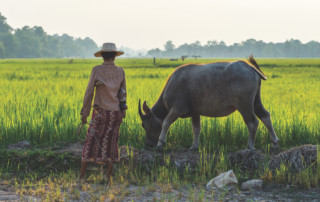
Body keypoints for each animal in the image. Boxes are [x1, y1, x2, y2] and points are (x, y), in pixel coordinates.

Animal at [139, 56, 278, 151]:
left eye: (145, 125)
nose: (148, 145)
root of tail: (250, 67)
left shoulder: (177, 109)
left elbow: (165, 123)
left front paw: (160, 143)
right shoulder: (195, 113)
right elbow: (196, 129)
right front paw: (194, 146)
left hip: (244, 105)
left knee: (252, 122)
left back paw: (249, 146)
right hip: (256, 102)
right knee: (266, 115)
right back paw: (274, 142)